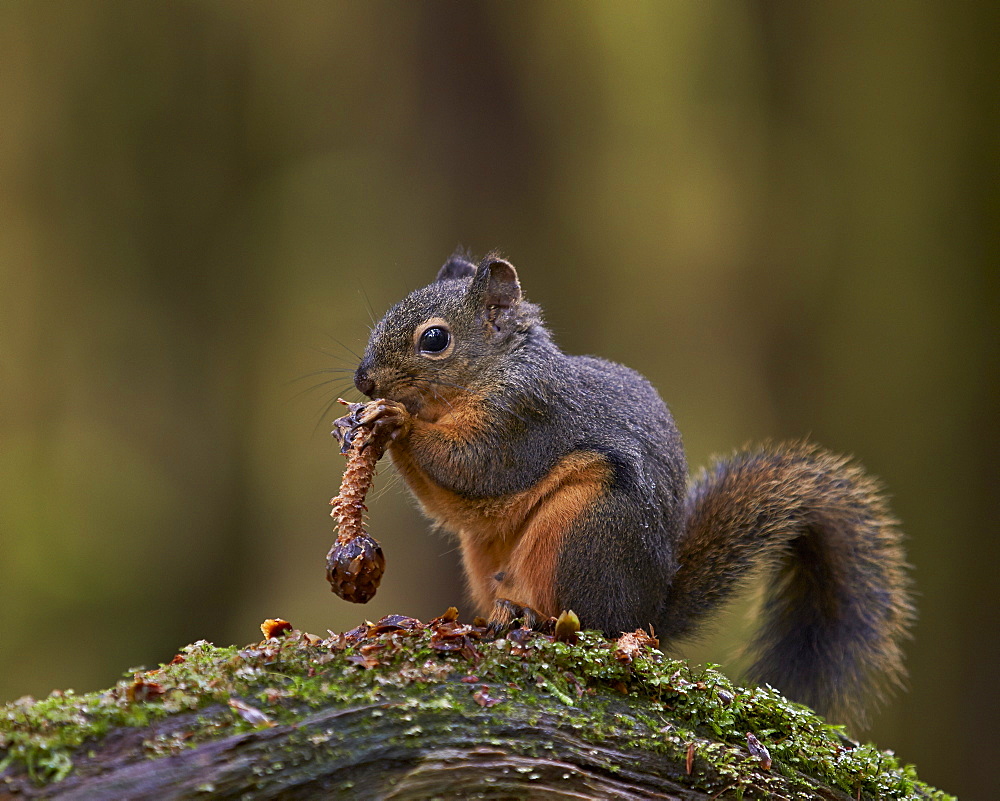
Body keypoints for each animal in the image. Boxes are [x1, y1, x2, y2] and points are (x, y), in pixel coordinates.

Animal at [344, 252, 916, 724]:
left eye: (434, 339)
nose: (364, 381)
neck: (497, 368)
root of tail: (646, 614)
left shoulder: (522, 418)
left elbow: (473, 465)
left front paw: (395, 419)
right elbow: (454, 505)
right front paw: (356, 422)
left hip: (585, 528)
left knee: (586, 620)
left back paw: (533, 616)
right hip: (488, 554)